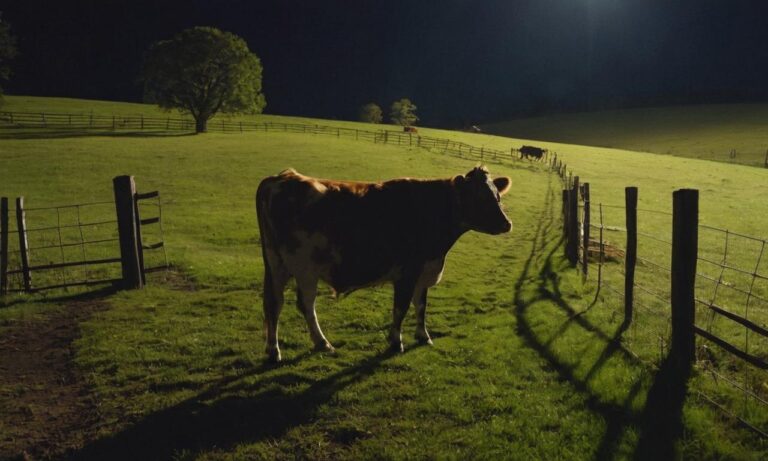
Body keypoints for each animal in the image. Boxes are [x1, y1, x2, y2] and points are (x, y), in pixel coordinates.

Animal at [255, 164, 512, 362]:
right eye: (479, 198)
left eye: (497, 196)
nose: (507, 223)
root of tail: (281, 178)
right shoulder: (408, 272)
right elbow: (401, 308)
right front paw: (396, 342)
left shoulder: (424, 271)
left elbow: (421, 305)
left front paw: (423, 336)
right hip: (304, 268)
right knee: (304, 304)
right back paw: (315, 344)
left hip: (277, 264)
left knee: (274, 303)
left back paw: (277, 349)